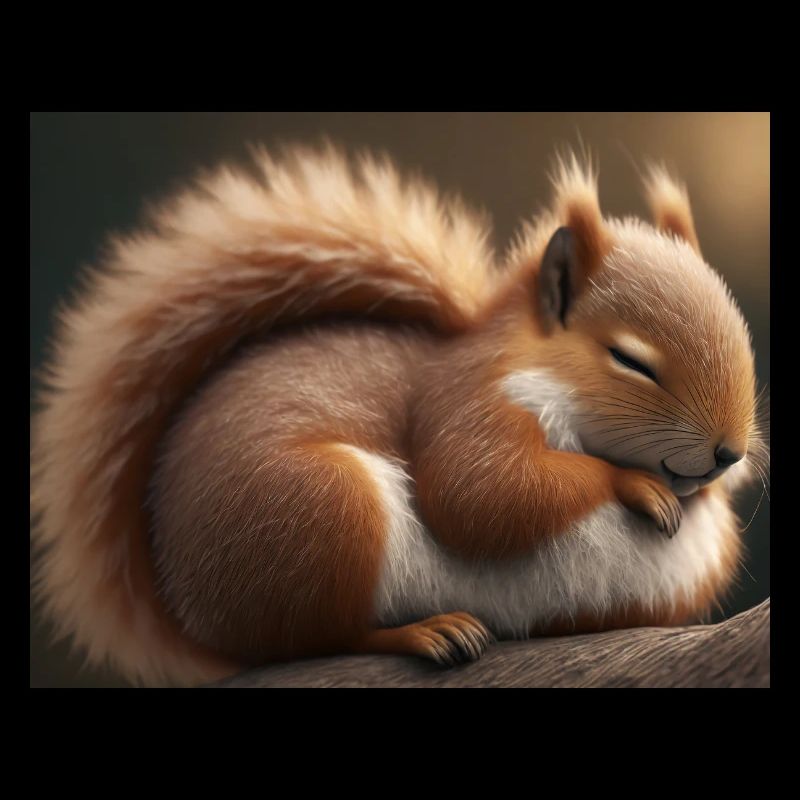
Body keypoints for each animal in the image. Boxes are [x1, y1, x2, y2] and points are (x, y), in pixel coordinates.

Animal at [31, 145, 768, 686]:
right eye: (629, 360)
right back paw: (426, 631)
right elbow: (481, 493)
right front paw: (633, 484)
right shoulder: (464, 402)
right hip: (321, 511)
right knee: (316, 639)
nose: (728, 453)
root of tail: (187, 600)